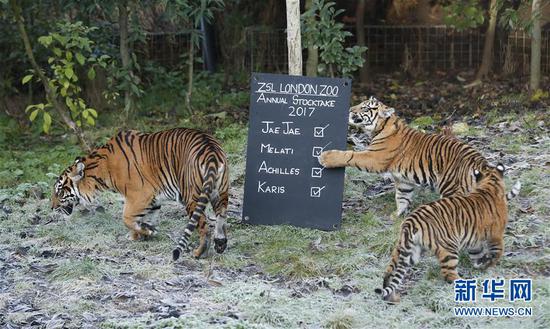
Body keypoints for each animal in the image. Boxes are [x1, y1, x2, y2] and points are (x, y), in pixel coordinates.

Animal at [51, 128, 231, 258]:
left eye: (59, 191)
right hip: (220, 193)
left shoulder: (139, 195)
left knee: (204, 228)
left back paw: (199, 252)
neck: (100, 170)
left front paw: (145, 232)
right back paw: (220, 244)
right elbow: (145, 217)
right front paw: (143, 233)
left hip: (192, 197)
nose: (52, 208)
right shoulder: (153, 199)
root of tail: (212, 151)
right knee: (221, 218)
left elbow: (127, 218)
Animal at [320, 96, 492, 217]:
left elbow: (351, 155)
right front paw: (397, 216)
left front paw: (326, 157)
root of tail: (480, 161)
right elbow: (402, 197)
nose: (350, 109)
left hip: (453, 189)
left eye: (364, 107)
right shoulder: (404, 180)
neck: (381, 127)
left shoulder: (374, 158)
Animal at [376, 163, 520, 304]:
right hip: (448, 249)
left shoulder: (474, 240)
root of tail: (411, 223)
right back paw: (464, 285)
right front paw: (489, 265)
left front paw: (481, 265)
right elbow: (497, 251)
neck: (489, 184)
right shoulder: (495, 235)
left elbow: (477, 255)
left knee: (389, 271)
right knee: (448, 274)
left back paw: (391, 297)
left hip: (408, 251)